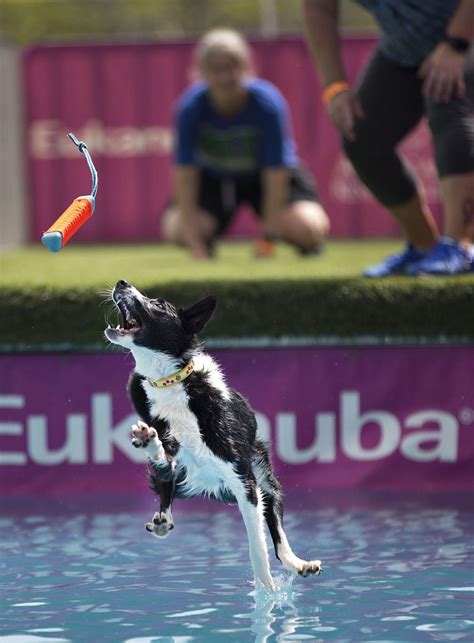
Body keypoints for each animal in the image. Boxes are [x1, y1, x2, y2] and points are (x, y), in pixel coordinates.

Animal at [105, 280, 320, 592]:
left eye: (159, 304)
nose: (122, 282)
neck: (170, 382)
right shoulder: (172, 451)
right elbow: (164, 457)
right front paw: (148, 440)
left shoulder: (245, 482)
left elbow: (258, 549)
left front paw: (267, 593)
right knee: (165, 487)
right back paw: (162, 516)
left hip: (265, 479)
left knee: (278, 538)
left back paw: (299, 564)